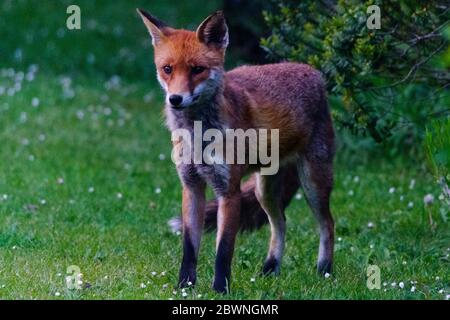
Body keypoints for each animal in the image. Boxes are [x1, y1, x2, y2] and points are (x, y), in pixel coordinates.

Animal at [136, 8, 334, 294]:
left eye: (198, 69)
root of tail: (313, 72)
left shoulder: (229, 191)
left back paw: (325, 271)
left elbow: (224, 250)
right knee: (281, 223)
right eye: (167, 69)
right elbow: (189, 247)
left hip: (313, 184)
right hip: (265, 191)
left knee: (328, 224)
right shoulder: (191, 187)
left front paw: (220, 289)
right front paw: (185, 285)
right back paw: (270, 269)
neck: (198, 136)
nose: (175, 99)